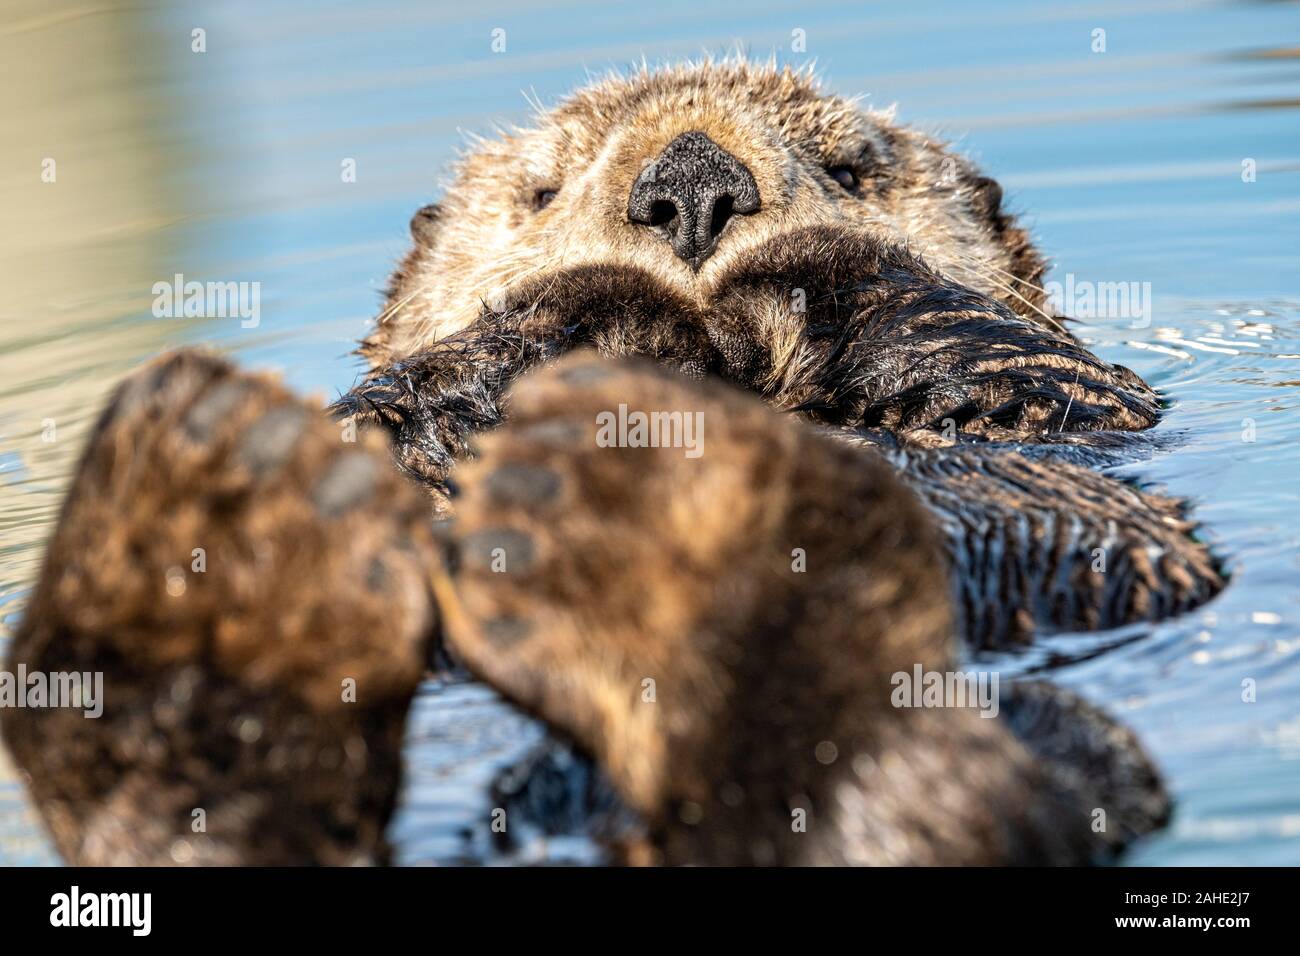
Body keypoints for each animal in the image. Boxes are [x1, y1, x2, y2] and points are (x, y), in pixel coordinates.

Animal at [3, 60, 1221, 865]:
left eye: (850, 168)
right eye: (542, 188)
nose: (692, 182)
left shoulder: (1071, 398)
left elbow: (1033, 368)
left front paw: (793, 256)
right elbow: (389, 420)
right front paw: (594, 298)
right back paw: (207, 526)